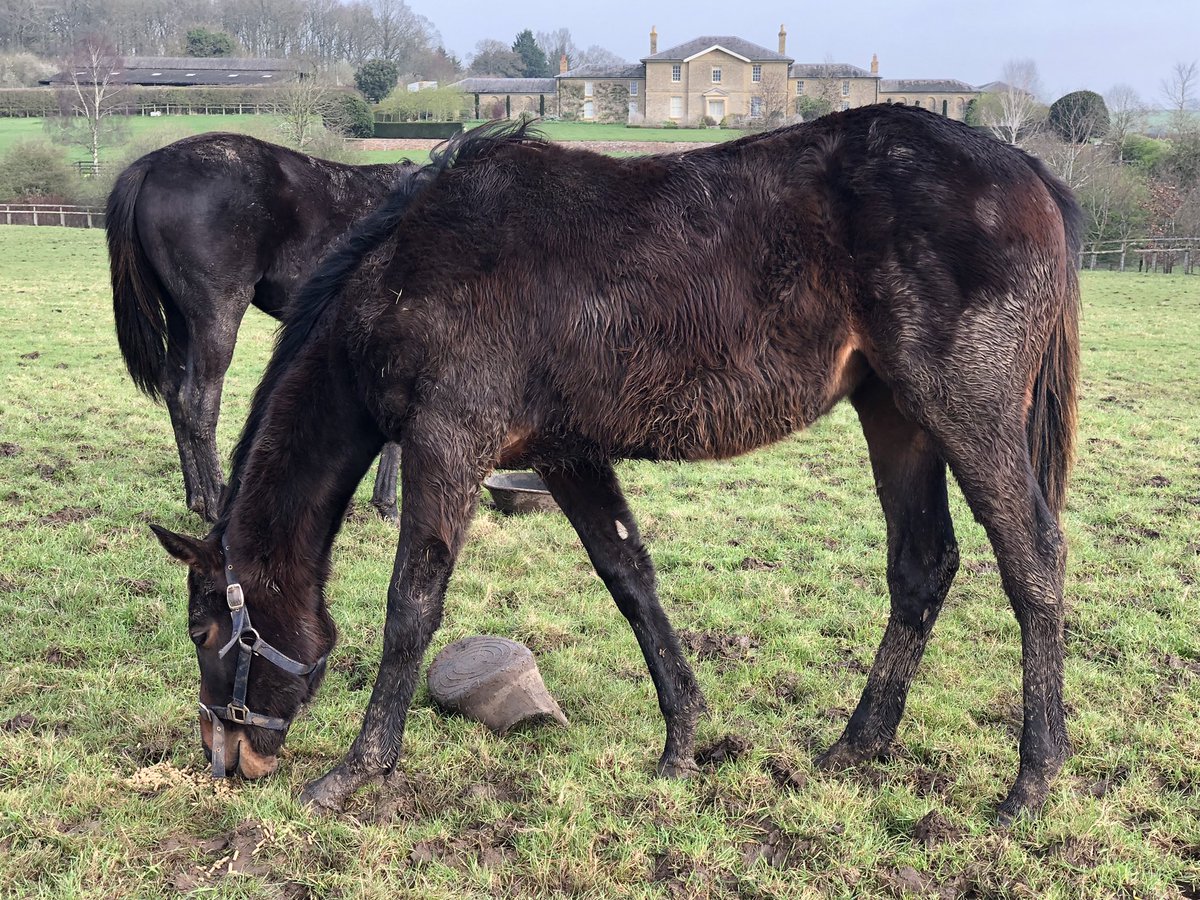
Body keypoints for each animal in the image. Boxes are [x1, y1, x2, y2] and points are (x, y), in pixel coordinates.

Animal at [109, 133, 417, 520]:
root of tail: (151, 163)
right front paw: (389, 504)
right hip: (217, 315)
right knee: (197, 402)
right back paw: (216, 504)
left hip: (181, 318)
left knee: (173, 392)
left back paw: (197, 499)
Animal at [154, 105, 1084, 825]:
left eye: (205, 631)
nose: (226, 757)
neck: (408, 269)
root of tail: (1028, 172)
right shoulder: (566, 454)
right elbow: (630, 577)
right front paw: (683, 741)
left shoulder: (447, 444)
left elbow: (411, 606)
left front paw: (356, 769)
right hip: (894, 414)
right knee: (923, 565)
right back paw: (858, 745)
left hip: (963, 409)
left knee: (1033, 558)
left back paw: (1032, 780)